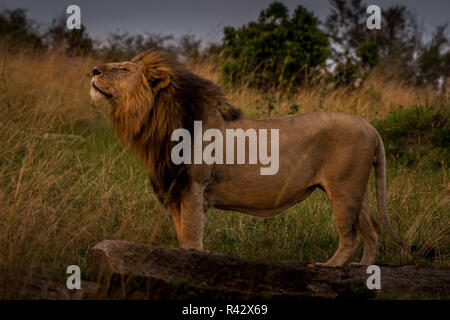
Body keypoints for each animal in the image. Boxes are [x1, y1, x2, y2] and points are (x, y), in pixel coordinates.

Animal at [89, 50, 406, 266]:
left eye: (122, 68)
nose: (92, 70)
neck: (158, 123)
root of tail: (371, 127)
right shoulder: (175, 190)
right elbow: (182, 237)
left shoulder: (193, 189)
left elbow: (190, 239)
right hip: (357, 190)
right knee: (373, 232)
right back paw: (362, 270)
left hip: (344, 189)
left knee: (350, 237)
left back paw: (328, 268)